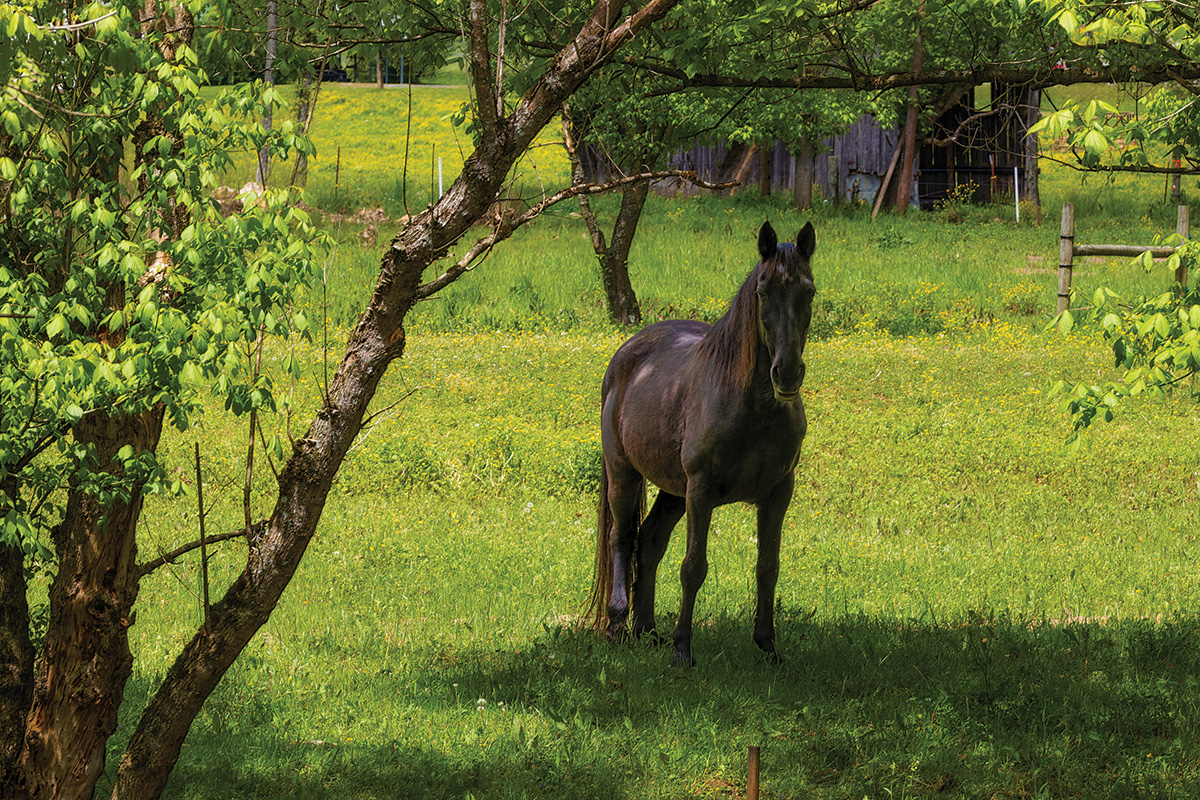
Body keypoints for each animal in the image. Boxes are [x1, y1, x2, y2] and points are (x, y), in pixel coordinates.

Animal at [588, 221, 816, 666]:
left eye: (809, 292)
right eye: (762, 292)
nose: (786, 373)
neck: (751, 409)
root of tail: (626, 352)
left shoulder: (778, 492)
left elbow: (768, 566)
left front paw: (767, 644)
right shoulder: (701, 491)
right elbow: (693, 567)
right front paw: (683, 649)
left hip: (672, 490)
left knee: (650, 540)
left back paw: (647, 629)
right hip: (626, 475)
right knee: (622, 537)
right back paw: (619, 624)